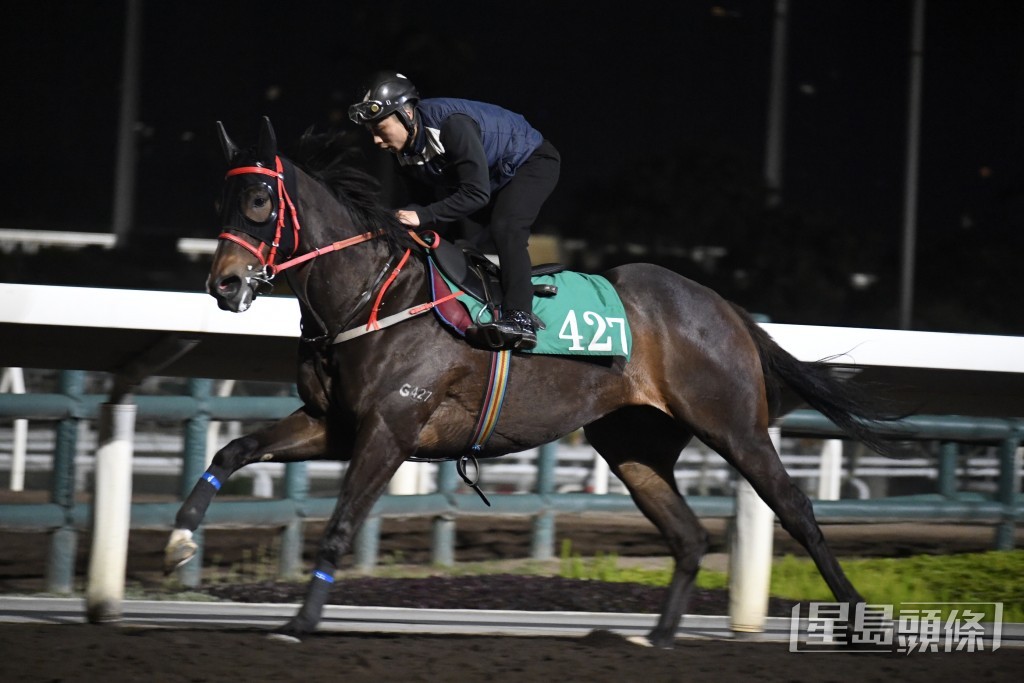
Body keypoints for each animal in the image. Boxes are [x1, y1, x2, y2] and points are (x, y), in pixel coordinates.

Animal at [163, 116, 901, 647]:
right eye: (221, 199)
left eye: (260, 198)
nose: (225, 284)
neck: (372, 296)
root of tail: (725, 306)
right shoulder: (333, 424)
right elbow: (232, 450)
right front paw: (180, 540)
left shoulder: (390, 429)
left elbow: (342, 522)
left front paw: (300, 623)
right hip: (633, 444)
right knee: (689, 535)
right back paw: (657, 637)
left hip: (733, 424)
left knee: (796, 509)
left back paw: (861, 625)